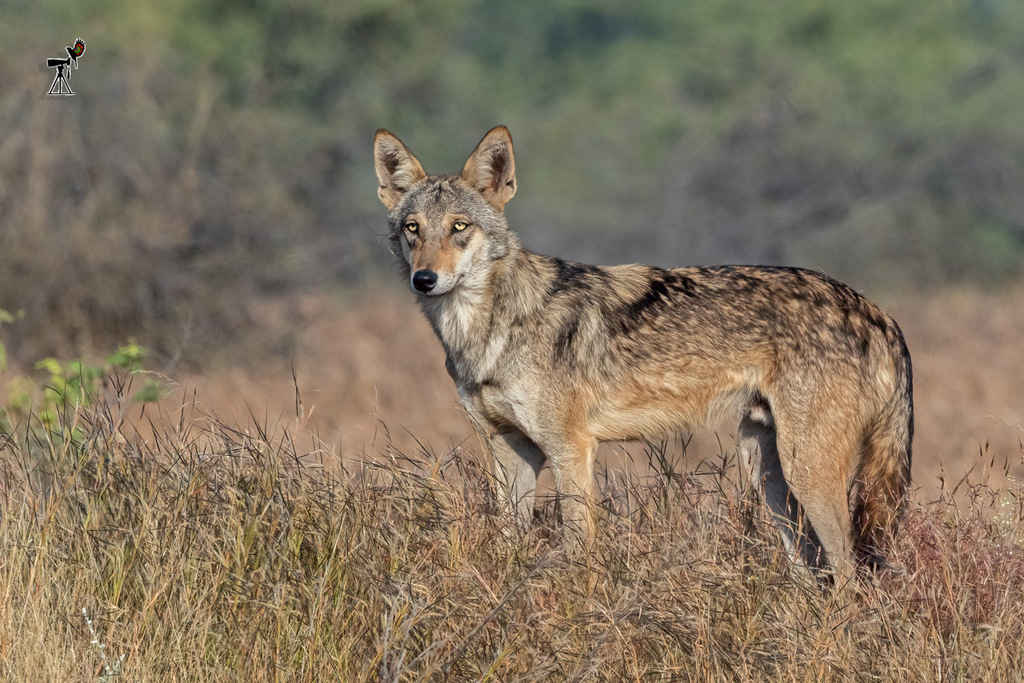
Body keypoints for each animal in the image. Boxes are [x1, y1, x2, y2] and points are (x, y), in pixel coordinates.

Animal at [374, 124, 913, 577]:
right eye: (413, 229)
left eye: (460, 227)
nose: (425, 279)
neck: (489, 330)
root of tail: (879, 313)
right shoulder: (512, 450)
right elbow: (510, 539)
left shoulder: (570, 448)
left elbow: (578, 546)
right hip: (767, 470)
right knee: (812, 568)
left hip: (807, 471)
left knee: (850, 574)